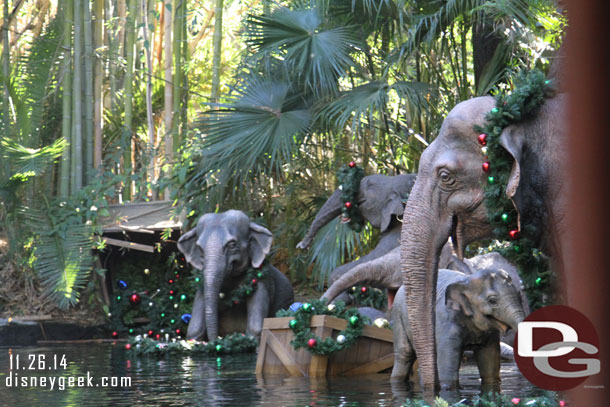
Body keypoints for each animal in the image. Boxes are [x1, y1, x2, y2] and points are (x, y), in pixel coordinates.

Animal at [177, 210, 294, 342]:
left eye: (232, 245)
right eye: (200, 249)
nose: (216, 340)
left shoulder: (263, 281)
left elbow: (256, 326)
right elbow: (194, 328)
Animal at [392, 270, 524, 390]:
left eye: (519, 295)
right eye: (492, 300)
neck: (467, 279)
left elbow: (490, 365)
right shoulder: (446, 322)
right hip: (398, 315)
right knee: (405, 354)